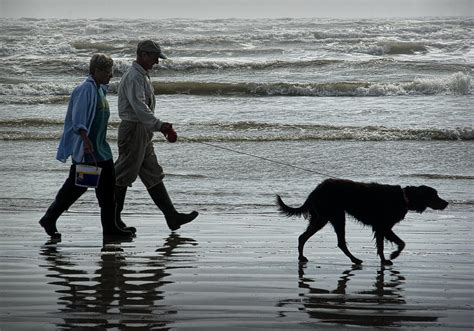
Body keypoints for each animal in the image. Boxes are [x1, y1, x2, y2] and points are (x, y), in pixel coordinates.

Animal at [276, 180, 446, 266]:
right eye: (434, 195)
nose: (446, 203)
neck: (404, 197)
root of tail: (316, 190)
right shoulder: (383, 226)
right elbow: (401, 243)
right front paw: (392, 255)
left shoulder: (381, 228)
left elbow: (384, 245)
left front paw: (385, 259)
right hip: (335, 216)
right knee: (340, 242)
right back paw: (355, 259)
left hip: (323, 217)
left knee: (303, 237)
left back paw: (302, 257)